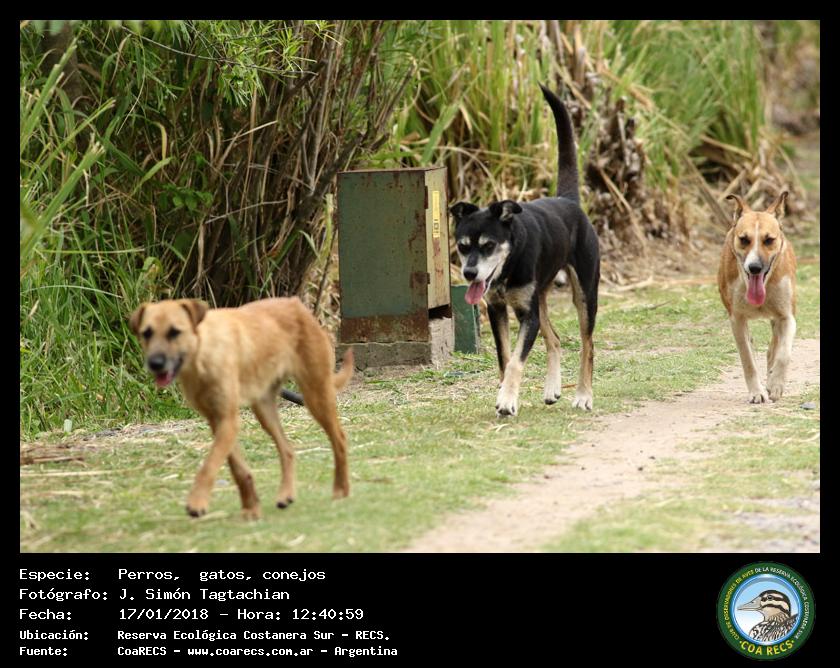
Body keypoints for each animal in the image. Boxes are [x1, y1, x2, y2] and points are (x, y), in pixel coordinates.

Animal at [129, 297, 353, 518]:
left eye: (174, 332)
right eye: (147, 333)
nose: (155, 363)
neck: (202, 354)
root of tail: (296, 303)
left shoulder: (228, 420)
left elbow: (209, 466)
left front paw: (197, 502)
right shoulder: (217, 422)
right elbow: (238, 469)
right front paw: (250, 508)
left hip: (316, 395)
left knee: (340, 439)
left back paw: (341, 489)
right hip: (264, 409)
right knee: (287, 450)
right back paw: (286, 494)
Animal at [449, 85, 600, 416]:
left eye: (488, 245)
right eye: (462, 246)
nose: (469, 273)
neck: (509, 264)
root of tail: (568, 201)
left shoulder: (527, 316)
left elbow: (517, 361)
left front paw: (507, 401)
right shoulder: (497, 310)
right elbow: (505, 359)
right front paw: (505, 394)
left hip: (584, 294)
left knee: (588, 345)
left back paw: (584, 395)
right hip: (539, 297)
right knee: (555, 339)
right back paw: (552, 389)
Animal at [718, 191, 797, 403]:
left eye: (769, 240)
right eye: (744, 239)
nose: (754, 267)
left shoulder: (787, 316)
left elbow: (784, 354)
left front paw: (776, 384)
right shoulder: (737, 319)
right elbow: (748, 358)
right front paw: (756, 392)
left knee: (774, 348)